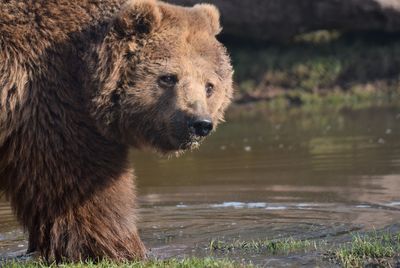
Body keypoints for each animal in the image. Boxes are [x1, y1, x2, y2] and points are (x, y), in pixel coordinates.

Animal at [0, 0, 231, 262]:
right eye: (168, 77)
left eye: (210, 86)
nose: (199, 123)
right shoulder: (51, 101)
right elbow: (79, 185)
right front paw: (124, 249)